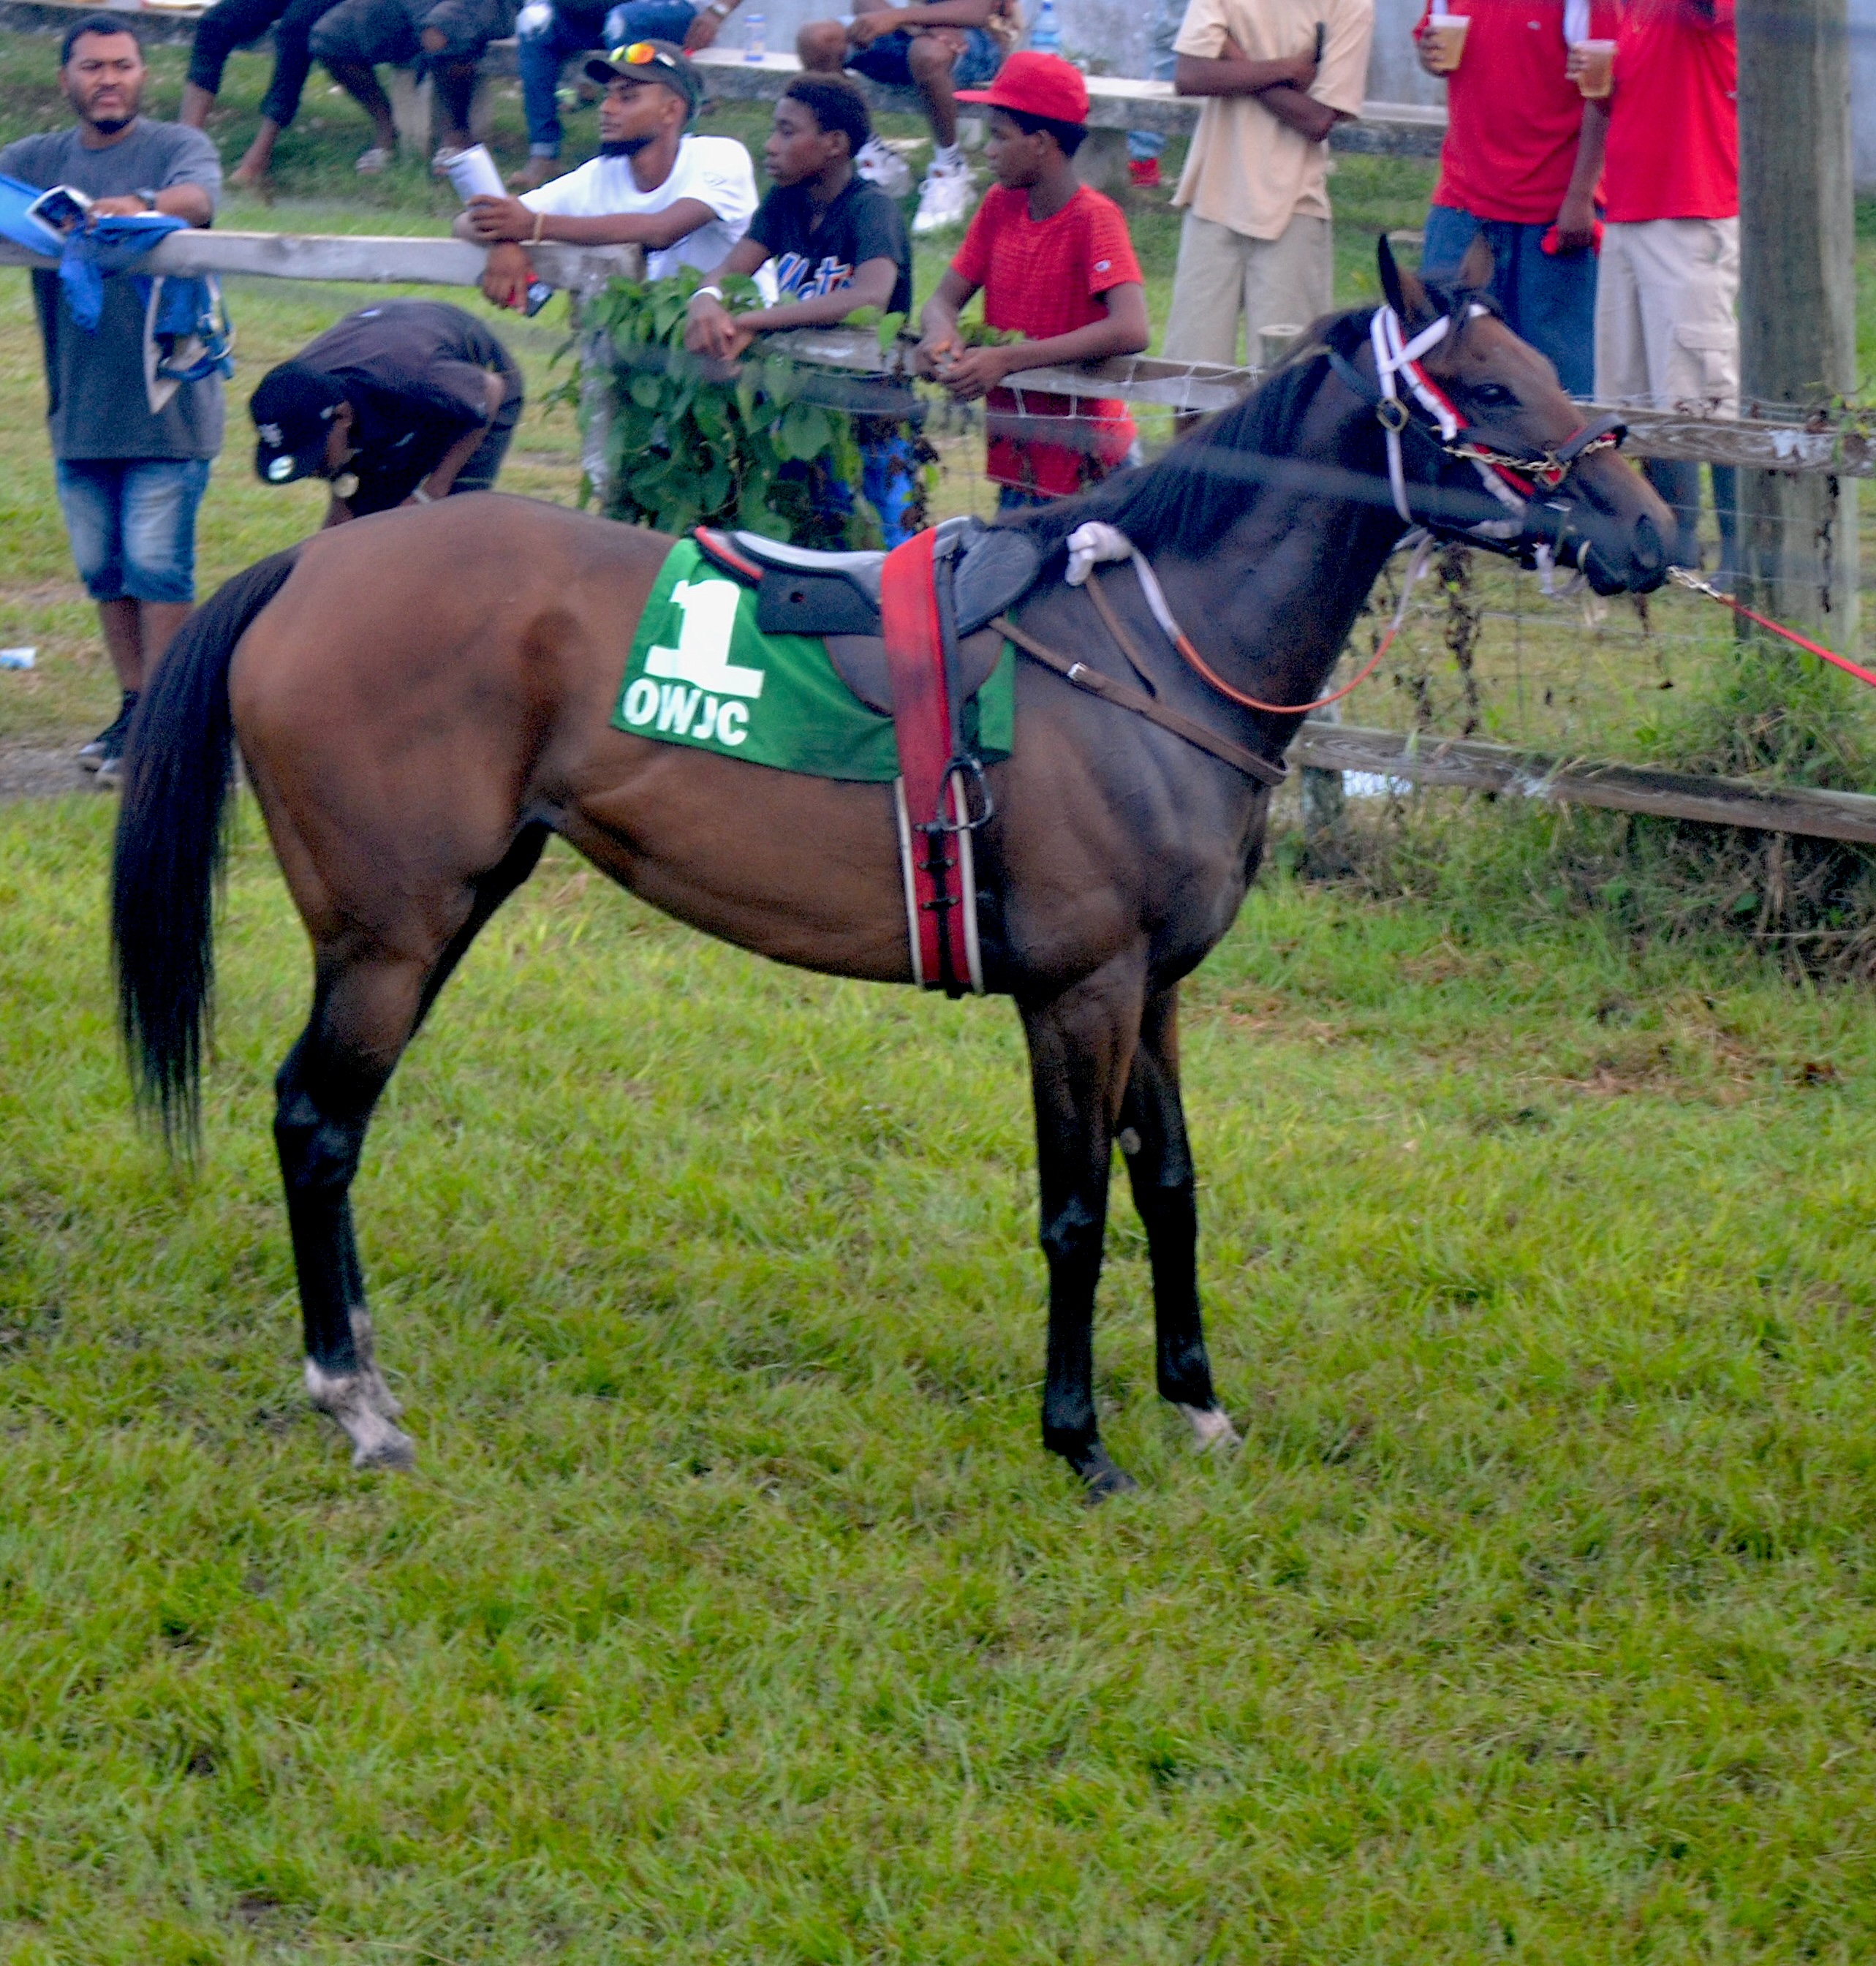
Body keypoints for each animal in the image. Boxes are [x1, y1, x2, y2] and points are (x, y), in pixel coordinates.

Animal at [113, 249, 1667, 1502]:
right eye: (1487, 386)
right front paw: (1079, 1437)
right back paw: (353, 1398)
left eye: (1545, 368)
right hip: (388, 934)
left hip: (449, 908)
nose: (1650, 527)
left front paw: (1200, 1403)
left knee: (333, 1126)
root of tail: (312, 571)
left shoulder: (1156, 989)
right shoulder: (1078, 993)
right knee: (314, 1123)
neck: (1138, 653)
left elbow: (1168, 1183)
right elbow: (1075, 1213)